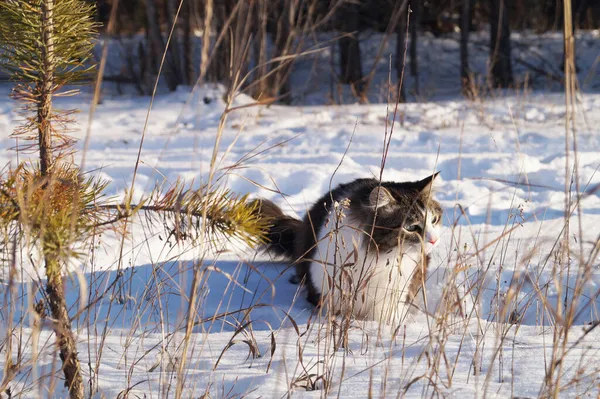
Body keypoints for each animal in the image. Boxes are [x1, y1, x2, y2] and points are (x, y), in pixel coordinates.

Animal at [255, 174, 442, 324]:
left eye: (434, 220)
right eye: (411, 228)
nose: (434, 240)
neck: (378, 258)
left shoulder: (392, 294)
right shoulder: (328, 288)